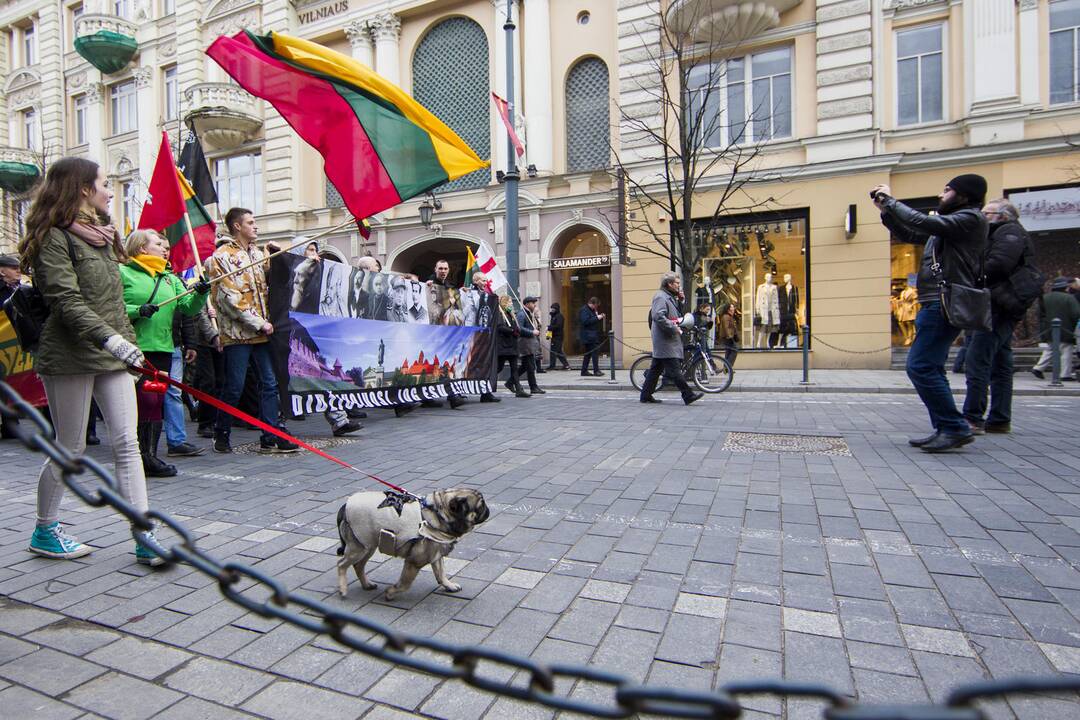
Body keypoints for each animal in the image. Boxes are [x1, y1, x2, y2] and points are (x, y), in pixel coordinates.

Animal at [334, 487, 492, 600]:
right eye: (480, 506)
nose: (487, 509)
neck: (439, 515)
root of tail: (345, 506)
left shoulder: (436, 554)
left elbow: (441, 574)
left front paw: (449, 585)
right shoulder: (414, 561)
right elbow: (405, 584)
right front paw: (390, 593)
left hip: (368, 546)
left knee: (358, 566)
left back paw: (367, 584)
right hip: (358, 548)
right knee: (342, 564)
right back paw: (343, 589)